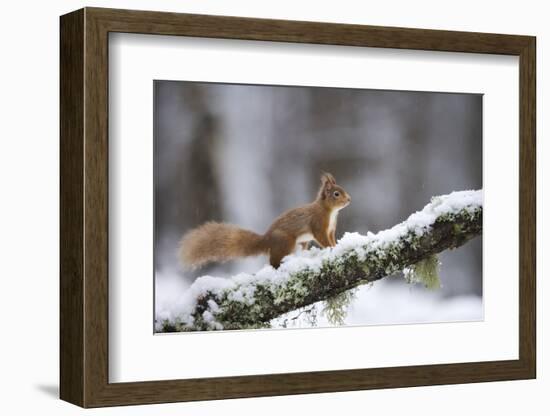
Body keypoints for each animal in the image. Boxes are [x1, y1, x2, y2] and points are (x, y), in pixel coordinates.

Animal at [181, 173, 354, 268]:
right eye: (336, 194)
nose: (349, 200)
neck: (330, 212)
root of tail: (267, 240)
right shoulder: (318, 224)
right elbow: (322, 238)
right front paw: (331, 248)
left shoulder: (331, 229)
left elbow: (332, 238)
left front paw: (337, 245)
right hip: (285, 242)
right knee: (274, 262)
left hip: (300, 243)